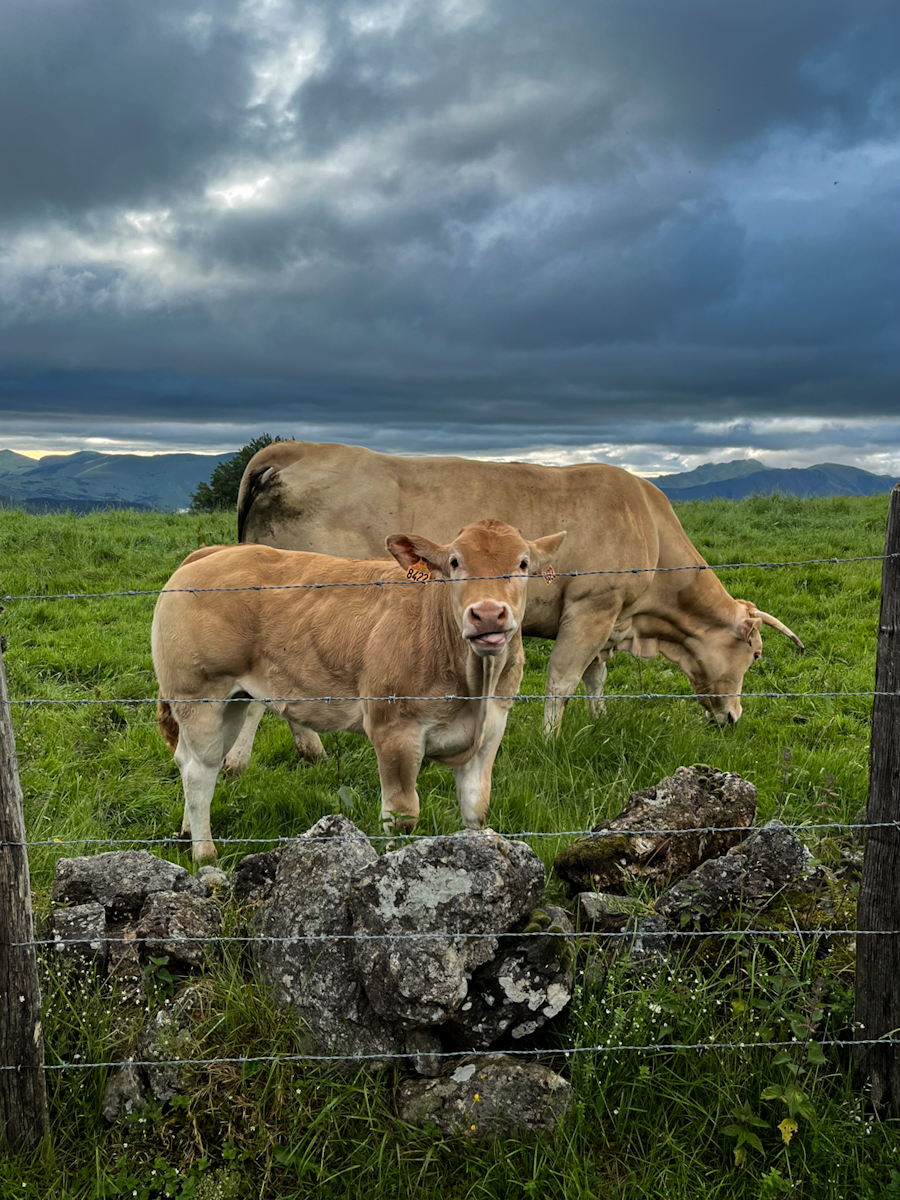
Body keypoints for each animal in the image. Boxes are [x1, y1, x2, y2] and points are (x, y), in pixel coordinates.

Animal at [152, 519, 565, 860]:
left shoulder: (490, 731)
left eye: (523, 563)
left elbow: (476, 810)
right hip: (198, 696)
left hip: (234, 701)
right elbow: (401, 816)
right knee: (200, 770)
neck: (473, 683)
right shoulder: (394, 731)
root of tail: (215, 552)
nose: (488, 614)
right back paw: (204, 853)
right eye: (454, 562)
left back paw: (188, 833)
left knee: (192, 761)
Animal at [236, 440, 803, 749]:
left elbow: (595, 678)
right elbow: (563, 681)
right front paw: (551, 741)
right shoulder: (592, 608)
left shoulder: (606, 615)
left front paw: (598, 723)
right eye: (755, 654)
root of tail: (294, 448)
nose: (733, 718)